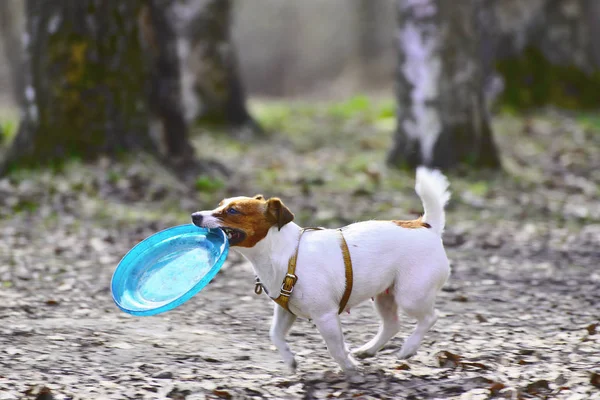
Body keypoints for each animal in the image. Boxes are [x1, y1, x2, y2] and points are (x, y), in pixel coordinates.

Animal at [192, 167, 450, 374]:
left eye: (233, 211)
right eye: (219, 205)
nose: (195, 215)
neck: (286, 253)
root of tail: (426, 225)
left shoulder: (325, 316)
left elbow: (335, 348)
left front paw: (348, 367)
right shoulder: (286, 312)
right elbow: (275, 334)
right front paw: (290, 360)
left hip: (411, 296)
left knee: (431, 317)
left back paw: (408, 348)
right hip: (385, 295)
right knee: (392, 325)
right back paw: (368, 350)